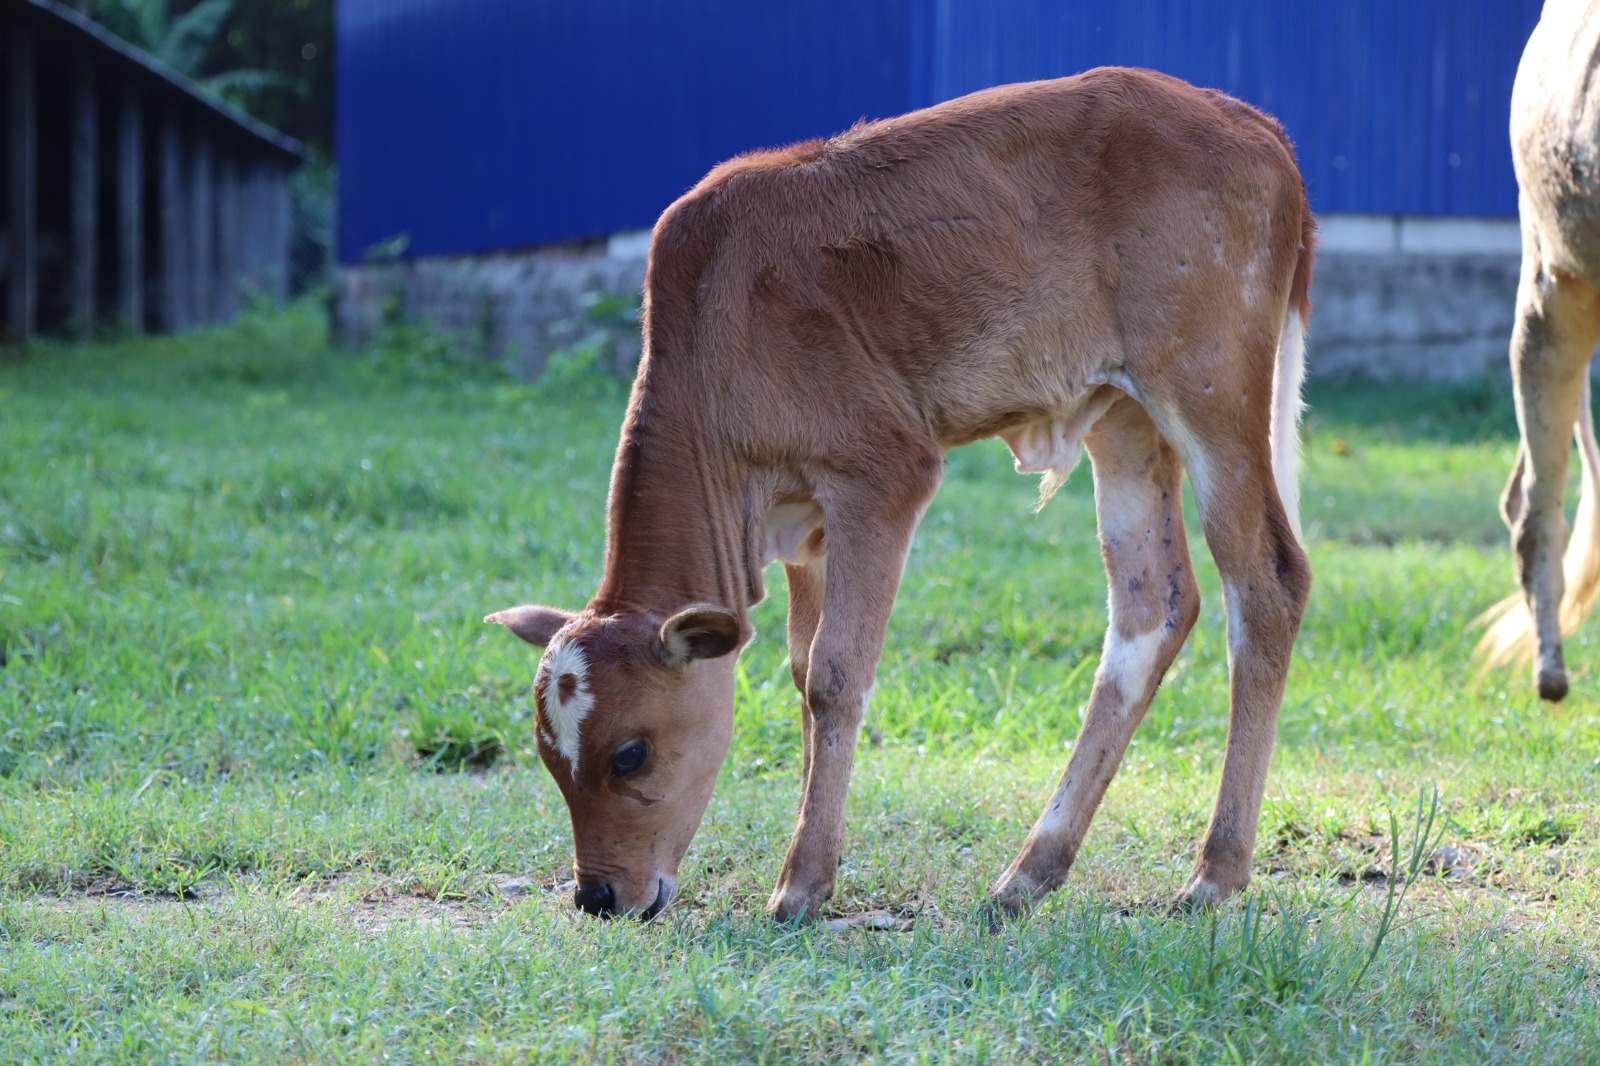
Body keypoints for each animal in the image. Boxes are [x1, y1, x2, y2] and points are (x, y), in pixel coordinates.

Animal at [488, 67, 1315, 922]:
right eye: (550, 757)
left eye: (630, 753)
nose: (597, 896)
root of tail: (1247, 120)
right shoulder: (803, 522)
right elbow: (801, 671)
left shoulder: (880, 474)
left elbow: (835, 673)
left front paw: (801, 885)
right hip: (1121, 416)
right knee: (1153, 605)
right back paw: (1029, 873)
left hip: (1208, 385)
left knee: (1266, 581)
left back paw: (1215, 871)